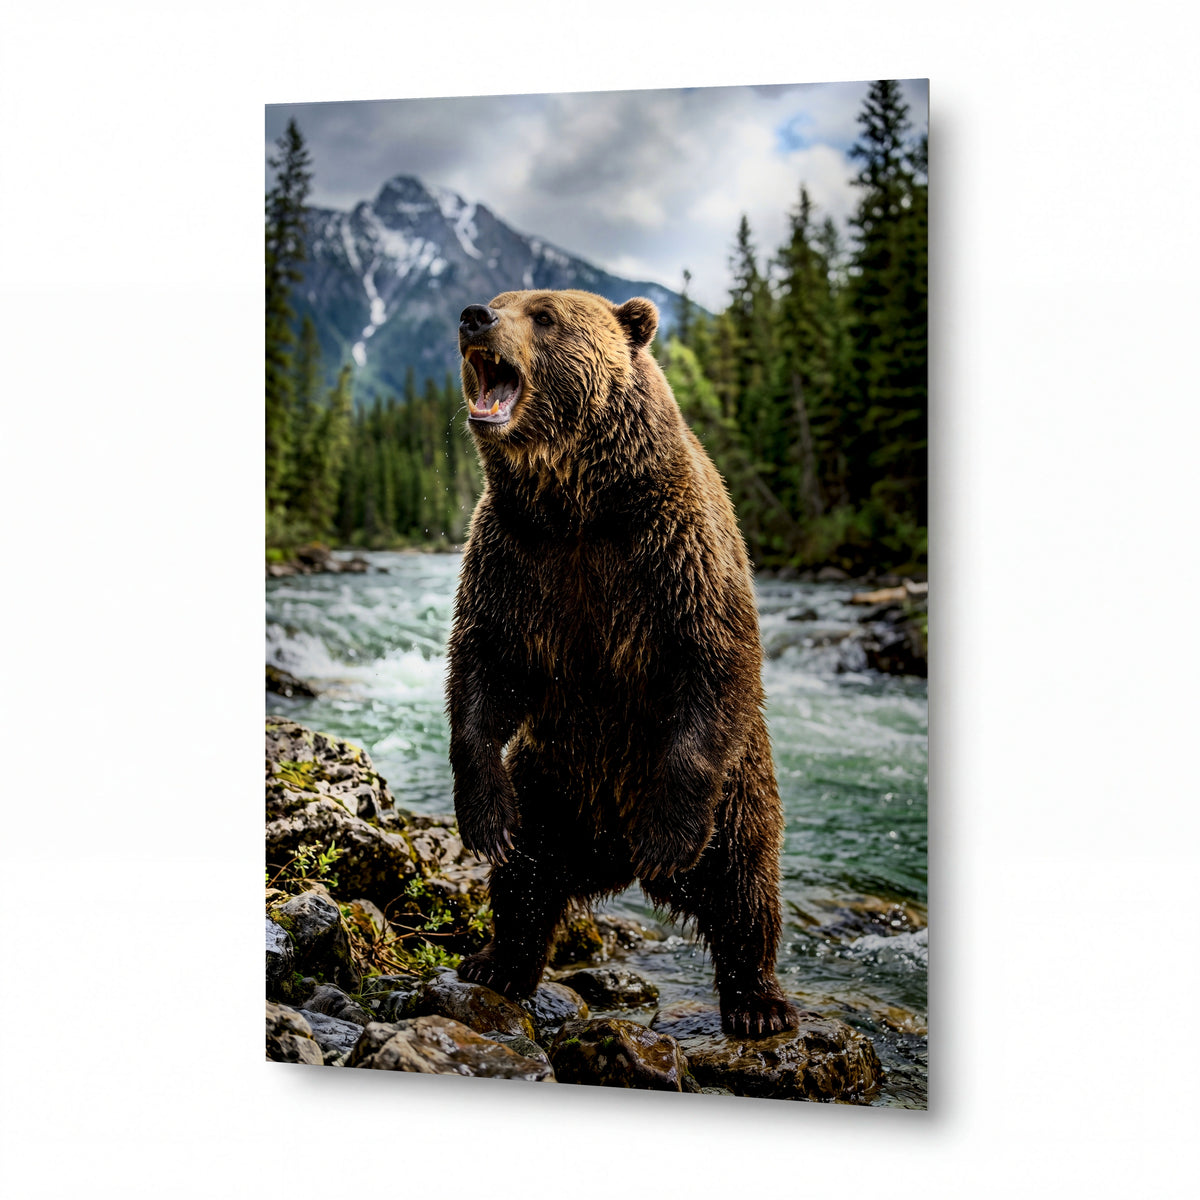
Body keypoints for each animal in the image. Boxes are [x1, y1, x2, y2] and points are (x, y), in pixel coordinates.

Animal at [446, 288, 799, 1037]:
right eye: (501, 300)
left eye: (544, 314)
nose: (473, 316)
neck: (578, 501)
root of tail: (612, 858)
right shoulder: (515, 554)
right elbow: (483, 666)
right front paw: (484, 819)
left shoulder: (671, 549)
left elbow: (712, 659)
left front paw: (666, 836)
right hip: (552, 787)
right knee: (525, 879)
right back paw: (497, 962)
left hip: (735, 793)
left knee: (744, 885)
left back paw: (758, 1001)